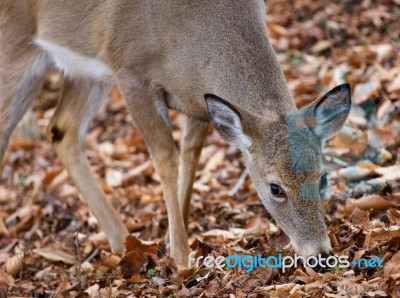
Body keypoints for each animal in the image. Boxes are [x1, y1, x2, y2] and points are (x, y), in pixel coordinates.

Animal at [0, 0, 350, 266]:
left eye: (322, 177)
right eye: (275, 188)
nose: (321, 254)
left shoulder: (199, 103)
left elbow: (190, 155)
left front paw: (172, 239)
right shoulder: (129, 71)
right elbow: (166, 160)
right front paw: (181, 258)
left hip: (84, 71)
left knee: (62, 129)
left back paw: (121, 241)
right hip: (16, 49)